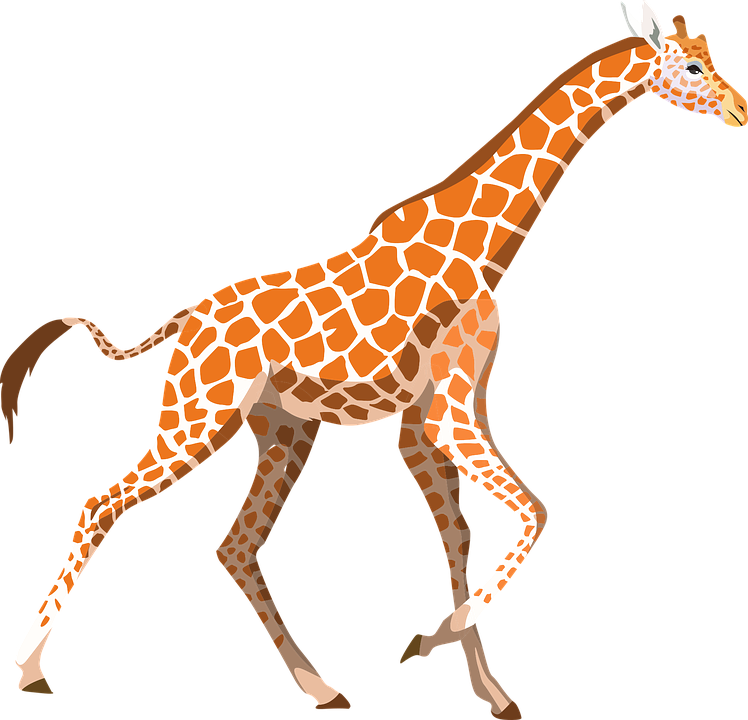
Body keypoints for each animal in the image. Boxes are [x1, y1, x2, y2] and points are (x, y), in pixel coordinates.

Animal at [3, 2, 744, 716]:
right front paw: (431, 643)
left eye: (711, 54)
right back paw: (30, 666)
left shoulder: (427, 423)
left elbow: (460, 538)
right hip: (199, 413)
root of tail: (184, 322)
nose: (740, 109)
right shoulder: (448, 416)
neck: (487, 249)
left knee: (237, 545)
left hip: (283, 430)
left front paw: (489, 691)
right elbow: (534, 512)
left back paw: (323, 688)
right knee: (102, 504)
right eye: (690, 66)